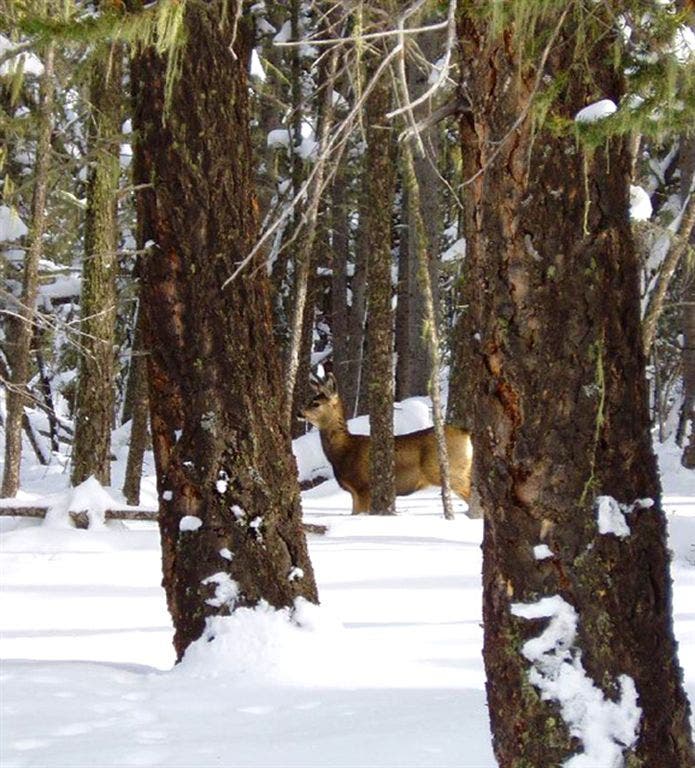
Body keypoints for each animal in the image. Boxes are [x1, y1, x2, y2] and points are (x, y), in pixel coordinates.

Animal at [298, 372, 473, 514]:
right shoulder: (355, 492)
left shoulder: (363, 487)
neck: (343, 451)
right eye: (309, 400)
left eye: (316, 404)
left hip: (451, 472)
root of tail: (465, 433)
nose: (299, 412)